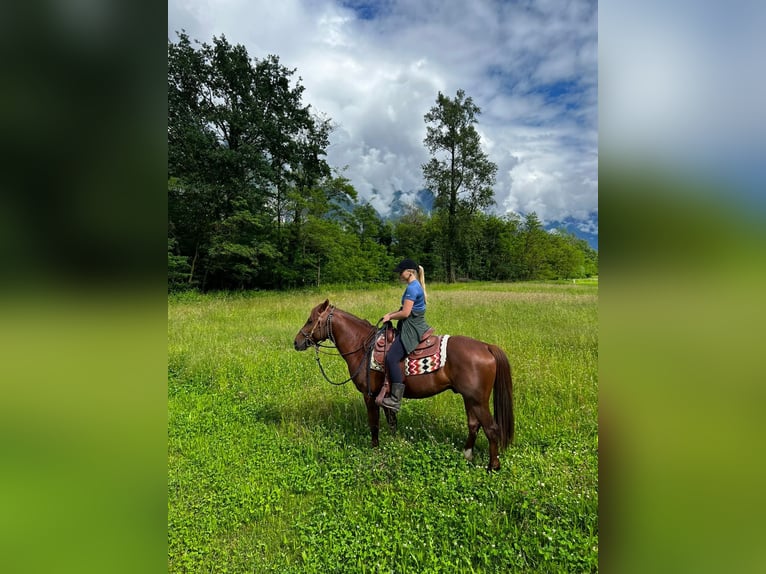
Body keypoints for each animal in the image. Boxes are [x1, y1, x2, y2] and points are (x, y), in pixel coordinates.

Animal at [294, 302, 516, 472]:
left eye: (311, 320)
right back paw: (467, 454)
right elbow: (392, 422)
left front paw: (375, 451)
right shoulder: (385, 396)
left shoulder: (370, 395)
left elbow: (374, 425)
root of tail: (486, 346)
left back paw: (492, 466)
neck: (362, 346)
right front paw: (394, 445)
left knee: (491, 428)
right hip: (469, 398)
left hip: (478, 400)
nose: (296, 342)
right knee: (473, 424)